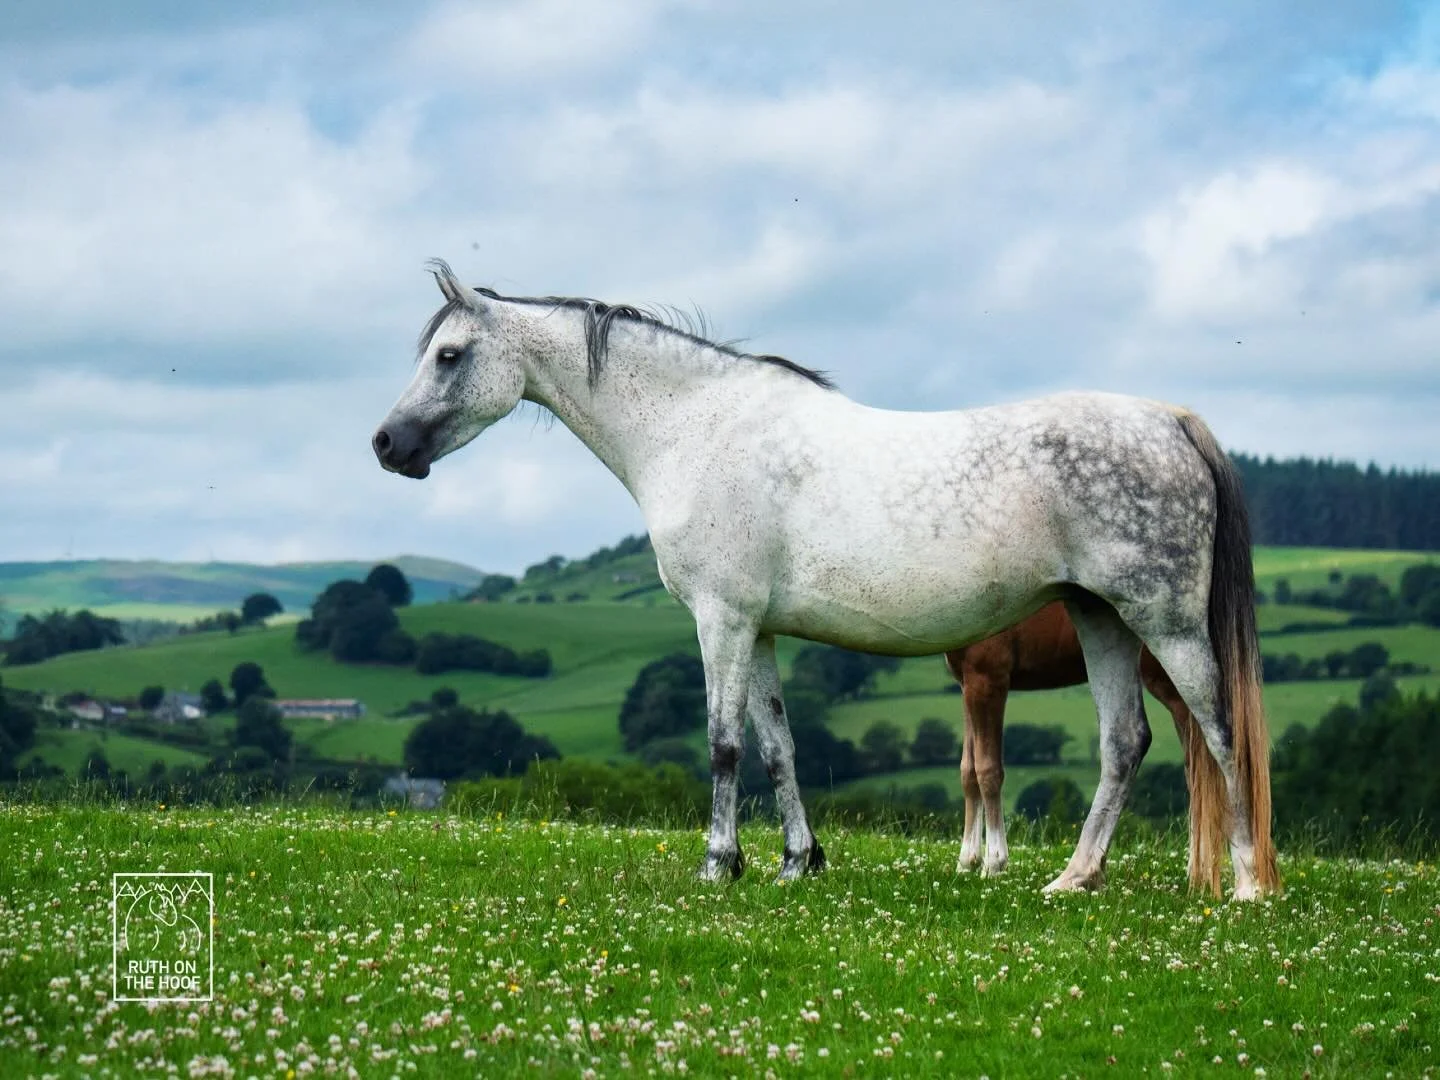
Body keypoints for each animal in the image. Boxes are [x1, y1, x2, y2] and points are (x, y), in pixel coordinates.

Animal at [946, 601, 1229, 896]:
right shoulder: (968, 684)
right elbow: (968, 771)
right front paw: (967, 862)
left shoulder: (989, 679)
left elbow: (988, 771)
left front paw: (994, 864)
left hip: (1172, 686)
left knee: (1202, 770)